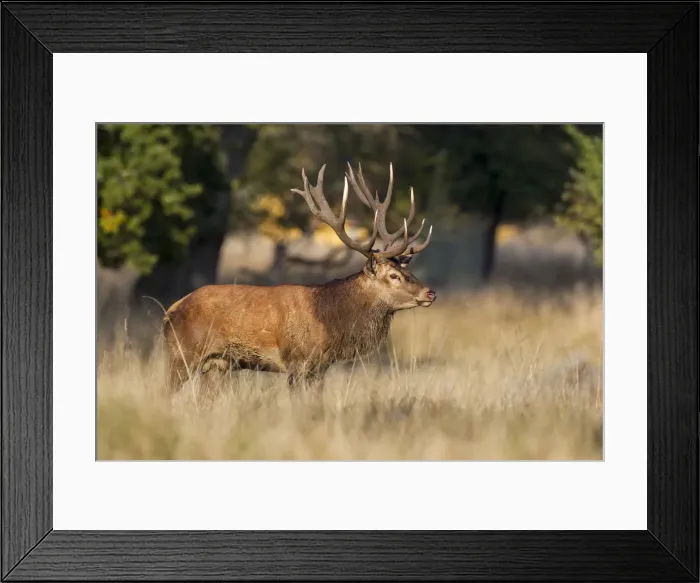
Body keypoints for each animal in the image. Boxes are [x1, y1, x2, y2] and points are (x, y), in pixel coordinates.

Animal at [162, 162, 436, 393]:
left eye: (408, 271)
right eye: (393, 275)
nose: (430, 292)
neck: (329, 321)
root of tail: (171, 310)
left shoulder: (320, 367)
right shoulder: (298, 361)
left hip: (217, 363)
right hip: (182, 354)